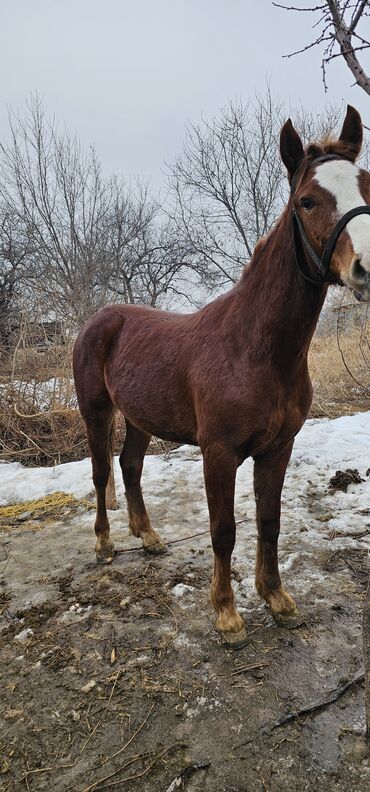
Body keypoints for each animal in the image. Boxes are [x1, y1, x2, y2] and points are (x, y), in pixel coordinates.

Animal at [73, 105, 370, 648]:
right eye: (308, 200)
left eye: (366, 186)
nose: (366, 267)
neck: (255, 350)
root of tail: (98, 320)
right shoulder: (219, 452)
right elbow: (223, 530)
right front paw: (227, 616)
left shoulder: (278, 448)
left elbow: (269, 521)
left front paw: (277, 600)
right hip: (97, 412)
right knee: (103, 471)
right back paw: (104, 545)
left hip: (140, 418)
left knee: (130, 466)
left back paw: (149, 537)